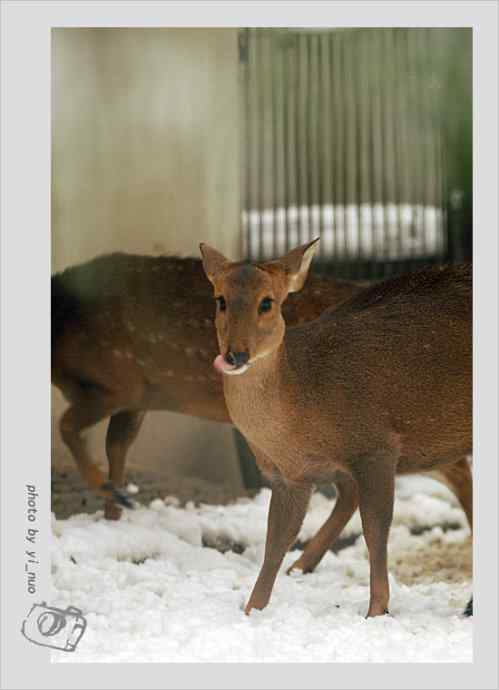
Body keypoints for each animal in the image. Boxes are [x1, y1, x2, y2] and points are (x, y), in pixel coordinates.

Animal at [53, 251, 472, 536]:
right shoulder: (137, 398)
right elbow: (116, 446)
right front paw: (114, 510)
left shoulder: (119, 383)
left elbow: (69, 428)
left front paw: (110, 497)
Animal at [200, 239, 472, 616]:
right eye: (220, 300)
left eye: (267, 301)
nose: (234, 355)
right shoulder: (289, 476)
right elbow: (275, 542)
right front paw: (252, 610)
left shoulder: (375, 446)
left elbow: (375, 530)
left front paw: (376, 611)